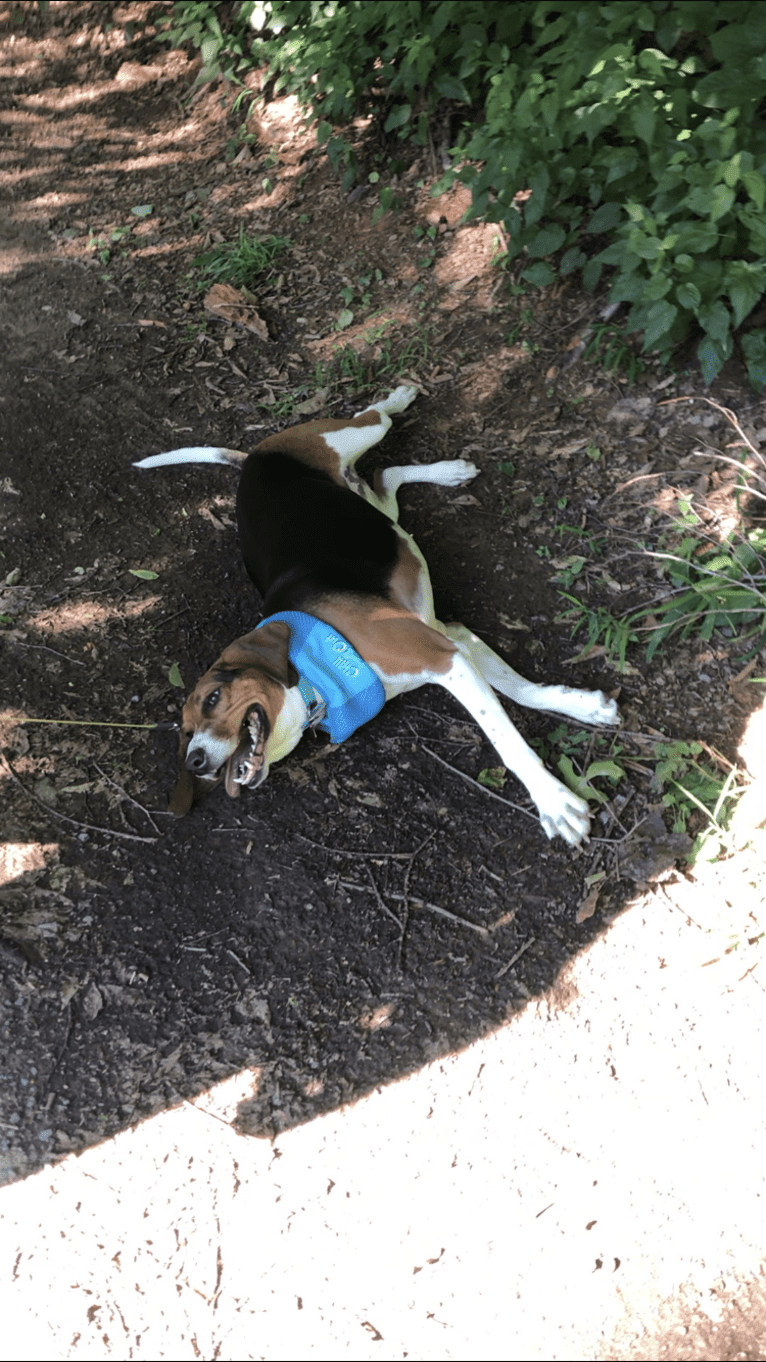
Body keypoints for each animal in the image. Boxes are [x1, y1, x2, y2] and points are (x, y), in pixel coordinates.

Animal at [135, 384, 613, 844]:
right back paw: (448, 472)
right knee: (387, 476)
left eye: (213, 698)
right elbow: (520, 690)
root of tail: (252, 458)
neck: (319, 671)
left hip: (351, 434)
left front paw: (554, 801)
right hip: (380, 509)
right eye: (184, 734)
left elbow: (508, 738)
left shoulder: (445, 655)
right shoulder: (452, 637)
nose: (195, 761)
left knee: (376, 417)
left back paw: (400, 398)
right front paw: (582, 706)